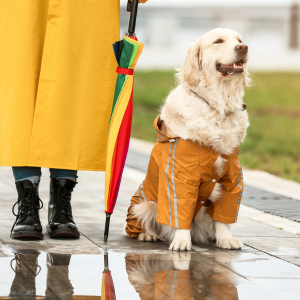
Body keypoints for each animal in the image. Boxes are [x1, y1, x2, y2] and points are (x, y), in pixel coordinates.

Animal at [124, 28, 251, 251]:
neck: (218, 106)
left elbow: (223, 215)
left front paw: (225, 239)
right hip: (143, 204)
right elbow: (179, 210)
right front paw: (182, 241)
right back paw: (148, 235)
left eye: (239, 40)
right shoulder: (179, 176)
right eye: (218, 41)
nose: (243, 48)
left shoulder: (232, 176)